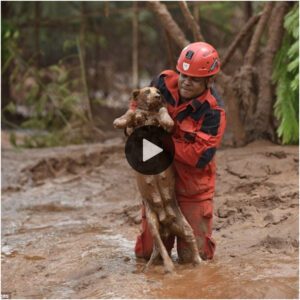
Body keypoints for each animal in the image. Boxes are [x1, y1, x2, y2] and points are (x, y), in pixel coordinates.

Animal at [112, 87, 202, 274]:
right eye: (147, 91)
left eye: (158, 90)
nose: (158, 96)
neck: (148, 112)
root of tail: (166, 223)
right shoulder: (136, 118)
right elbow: (131, 113)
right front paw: (120, 121)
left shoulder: (162, 119)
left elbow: (163, 112)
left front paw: (166, 118)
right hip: (152, 224)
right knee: (160, 247)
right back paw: (167, 267)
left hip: (185, 226)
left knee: (189, 243)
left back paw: (196, 262)